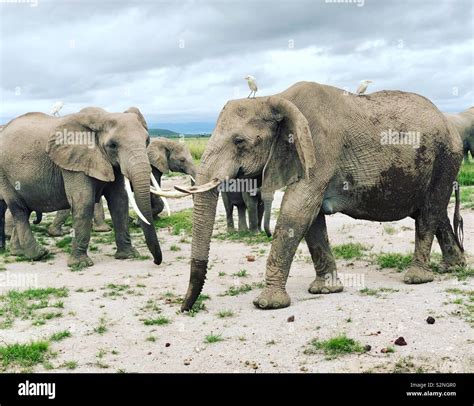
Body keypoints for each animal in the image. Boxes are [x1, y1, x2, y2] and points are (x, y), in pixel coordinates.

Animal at [0, 106, 163, 268]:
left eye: (147, 140)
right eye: (113, 145)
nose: (156, 261)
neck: (103, 117)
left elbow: (119, 201)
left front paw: (128, 256)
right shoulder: (73, 162)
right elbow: (83, 202)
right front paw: (81, 264)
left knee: (25, 210)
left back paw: (19, 253)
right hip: (4, 175)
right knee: (19, 210)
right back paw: (40, 254)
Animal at [176, 81, 464, 310]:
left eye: (239, 142)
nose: (185, 308)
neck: (275, 98)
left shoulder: (319, 147)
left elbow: (297, 211)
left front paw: (267, 304)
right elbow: (311, 219)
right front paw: (325, 290)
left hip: (445, 157)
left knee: (430, 211)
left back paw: (417, 278)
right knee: (435, 211)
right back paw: (455, 266)